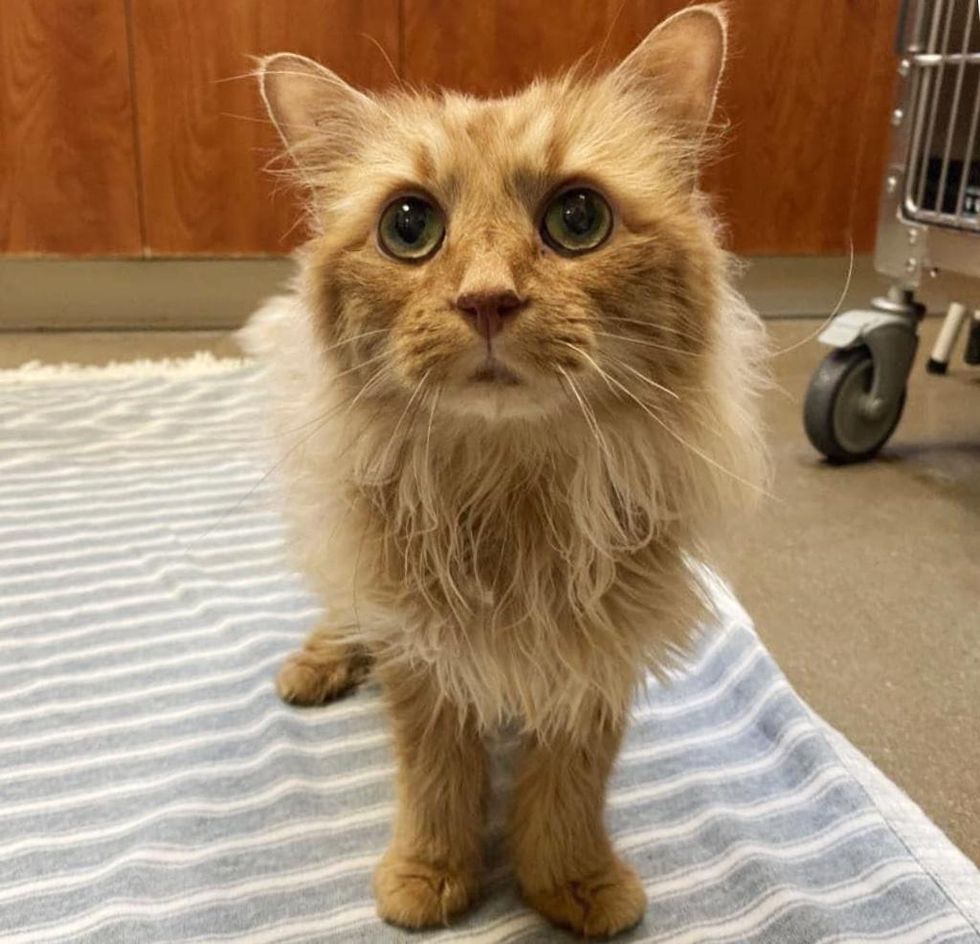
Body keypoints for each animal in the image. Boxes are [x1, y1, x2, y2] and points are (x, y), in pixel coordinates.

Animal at [245, 5, 764, 936]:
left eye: (579, 218)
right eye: (408, 227)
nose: (486, 300)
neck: (512, 489)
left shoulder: (597, 650)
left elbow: (569, 789)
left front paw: (573, 882)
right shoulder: (420, 643)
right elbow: (435, 779)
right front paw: (428, 875)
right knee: (342, 610)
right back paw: (316, 665)